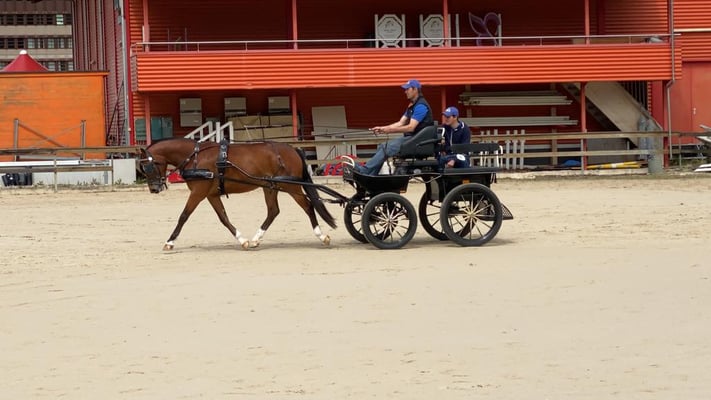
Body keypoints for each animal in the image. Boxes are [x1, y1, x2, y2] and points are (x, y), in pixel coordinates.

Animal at [139, 137, 337, 250]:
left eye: (148, 166)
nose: (154, 188)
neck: (195, 157)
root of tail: (292, 149)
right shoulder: (211, 195)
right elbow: (223, 218)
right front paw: (242, 240)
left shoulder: (198, 192)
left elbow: (184, 216)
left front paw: (170, 242)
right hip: (270, 187)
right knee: (273, 211)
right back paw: (256, 239)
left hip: (291, 187)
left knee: (308, 206)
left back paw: (322, 236)